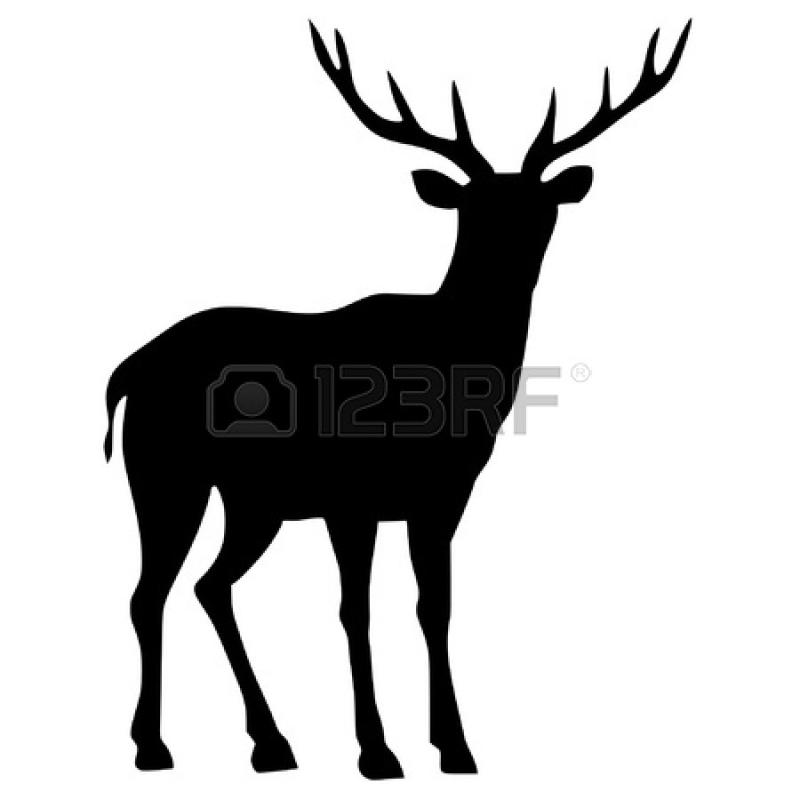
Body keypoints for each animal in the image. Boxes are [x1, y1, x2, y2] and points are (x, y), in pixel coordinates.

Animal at [104, 20, 691, 779]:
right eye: (474, 210)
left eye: (542, 210)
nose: (511, 265)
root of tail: (125, 371)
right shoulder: (350, 495)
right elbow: (355, 609)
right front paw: (377, 751)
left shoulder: (443, 495)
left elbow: (434, 606)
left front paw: (456, 746)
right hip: (165, 473)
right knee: (149, 594)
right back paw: (153, 746)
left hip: (254, 502)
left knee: (210, 585)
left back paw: (271, 742)